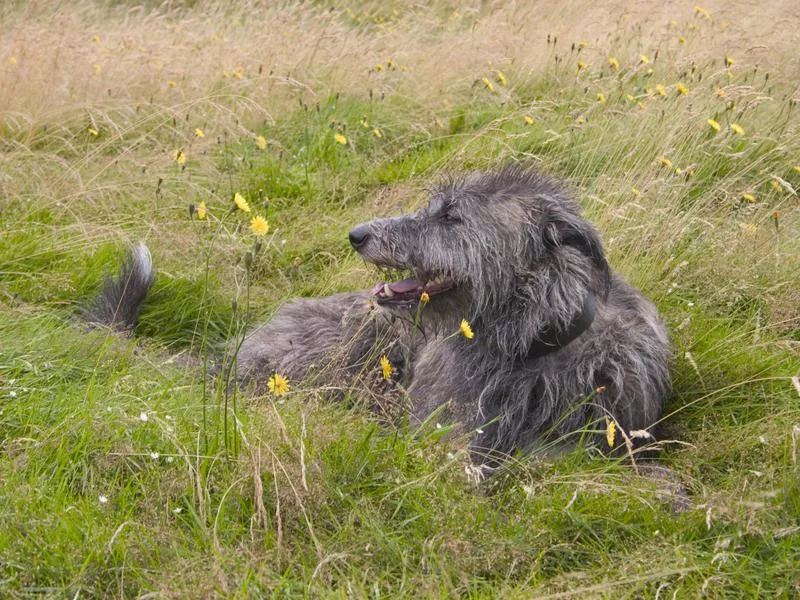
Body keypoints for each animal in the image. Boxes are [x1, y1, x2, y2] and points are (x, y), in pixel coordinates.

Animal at [90, 168, 672, 460]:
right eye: (435, 206)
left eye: (452, 216)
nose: (356, 234)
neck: (529, 342)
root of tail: (231, 358)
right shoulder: (446, 428)